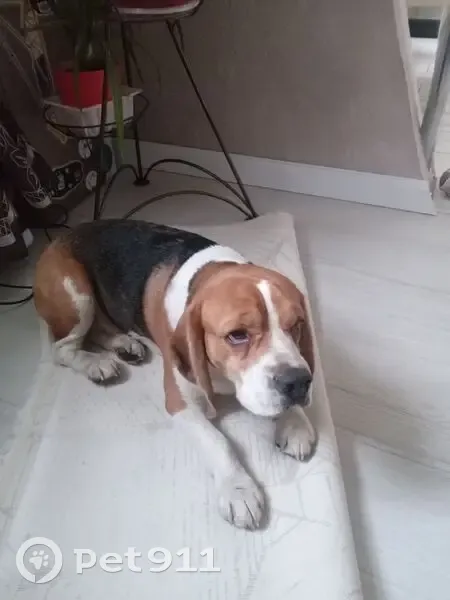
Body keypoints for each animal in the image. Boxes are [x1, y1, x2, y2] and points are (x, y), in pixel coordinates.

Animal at [33, 219, 317, 530]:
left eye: (297, 325)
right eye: (237, 335)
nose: (298, 383)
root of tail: (60, 236)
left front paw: (296, 421)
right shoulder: (180, 403)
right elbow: (219, 443)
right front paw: (238, 489)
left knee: (100, 329)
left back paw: (124, 345)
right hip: (77, 296)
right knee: (63, 348)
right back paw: (95, 363)